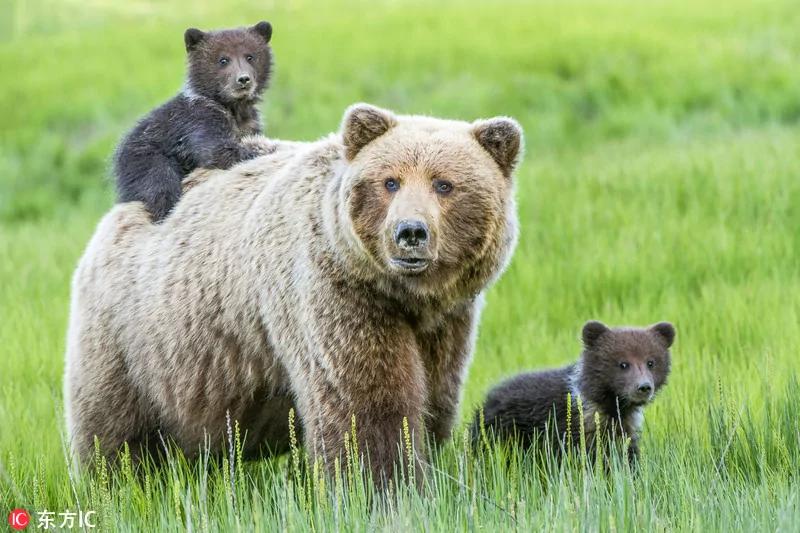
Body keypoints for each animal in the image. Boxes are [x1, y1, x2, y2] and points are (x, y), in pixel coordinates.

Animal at [64, 103, 524, 485]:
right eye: (390, 181)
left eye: (444, 185)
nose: (410, 232)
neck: (402, 294)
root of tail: (115, 215)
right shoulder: (334, 292)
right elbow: (365, 403)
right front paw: (383, 484)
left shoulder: (448, 319)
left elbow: (435, 398)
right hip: (134, 340)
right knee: (116, 432)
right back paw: (122, 485)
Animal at [113, 21, 274, 222]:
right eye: (223, 60)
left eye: (250, 56)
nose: (243, 79)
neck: (233, 108)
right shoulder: (199, 119)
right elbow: (215, 150)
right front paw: (260, 150)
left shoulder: (250, 125)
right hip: (145, 157)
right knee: (161, 184)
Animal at [472, 320, 674, 466]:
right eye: (623, 364)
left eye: (651, 362)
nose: (644, 387)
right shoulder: (570, 427)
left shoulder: (623, 429)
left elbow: (626, 456)